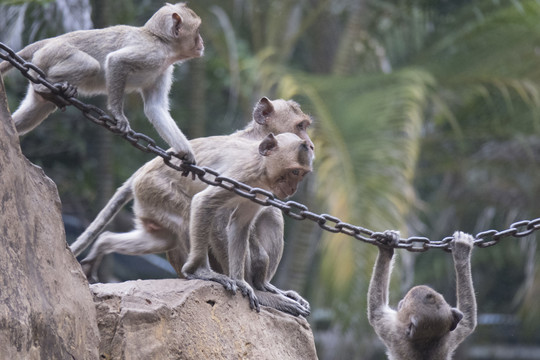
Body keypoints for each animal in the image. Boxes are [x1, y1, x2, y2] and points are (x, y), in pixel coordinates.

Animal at [0, 2, 202, 163]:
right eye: (197, 30)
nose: (201, 42)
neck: (161, 41)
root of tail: (49, 41)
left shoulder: (163, 69)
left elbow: (155, 108)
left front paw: (186, 153)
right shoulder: (153, 53)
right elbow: (116, 61)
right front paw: (118, 116)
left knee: (35, 109)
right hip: (53, 53)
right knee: (90, 65)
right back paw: (45, 86)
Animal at [182, 133, 314, 312]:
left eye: (302, 174)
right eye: (295, 171)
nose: (294, 188)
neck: (261, 165)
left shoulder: (261, 189)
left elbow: (240, 224)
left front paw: (240, 281)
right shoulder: (243, 174)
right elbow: (205, 203)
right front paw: (199, 271)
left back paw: (263, 285)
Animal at [368, 231, 476, 360]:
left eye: (404, 302)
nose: (401, 302)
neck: (425, 342)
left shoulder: (391, 330)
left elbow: (376, 311)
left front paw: (385, 249)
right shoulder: (448, 339)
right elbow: (468, 321)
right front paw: (462, 253)